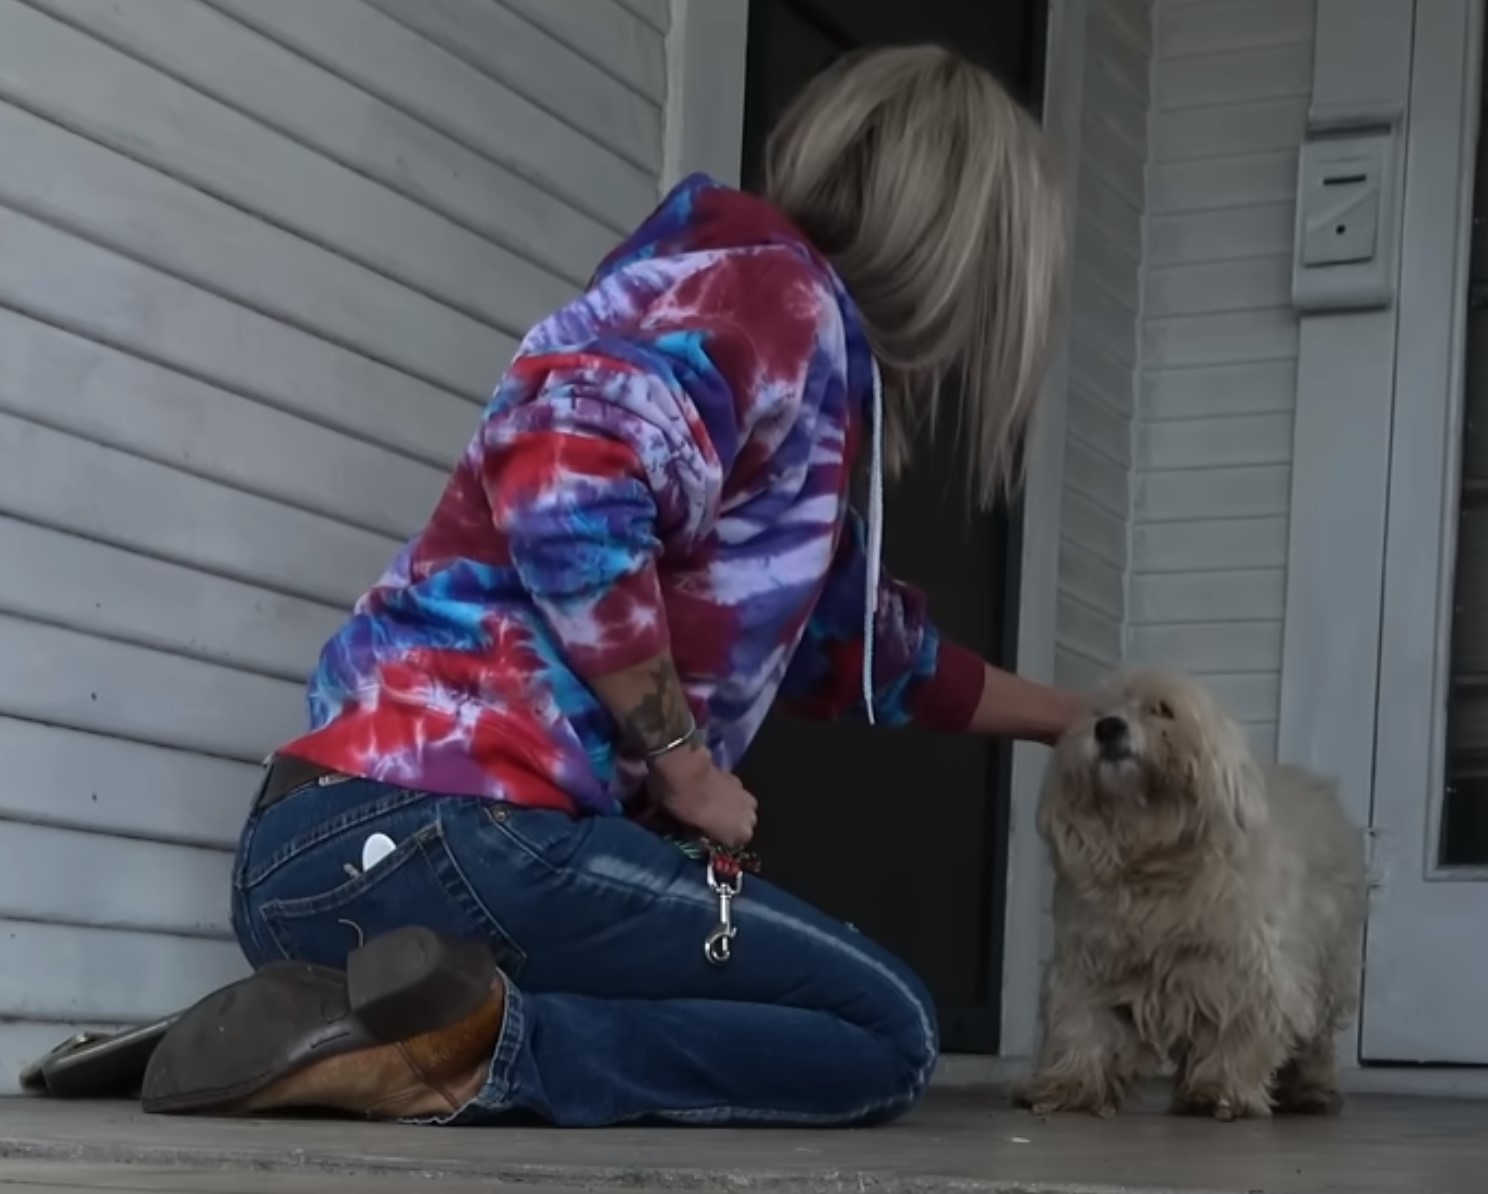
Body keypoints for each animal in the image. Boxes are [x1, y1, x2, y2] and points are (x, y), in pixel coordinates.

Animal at [1017, 669, 1363, 1119]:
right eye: (1097, 712)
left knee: (1316, 1038)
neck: (1156, 860)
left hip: (1326, 967)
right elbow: (1082, 1024)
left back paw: (1312, 1089)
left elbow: (1237, 1032)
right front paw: (1067, 1084)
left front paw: (1219, 1090)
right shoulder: (1089, 964)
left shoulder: (1245, 973)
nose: (1108, 727)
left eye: (1162, 709)